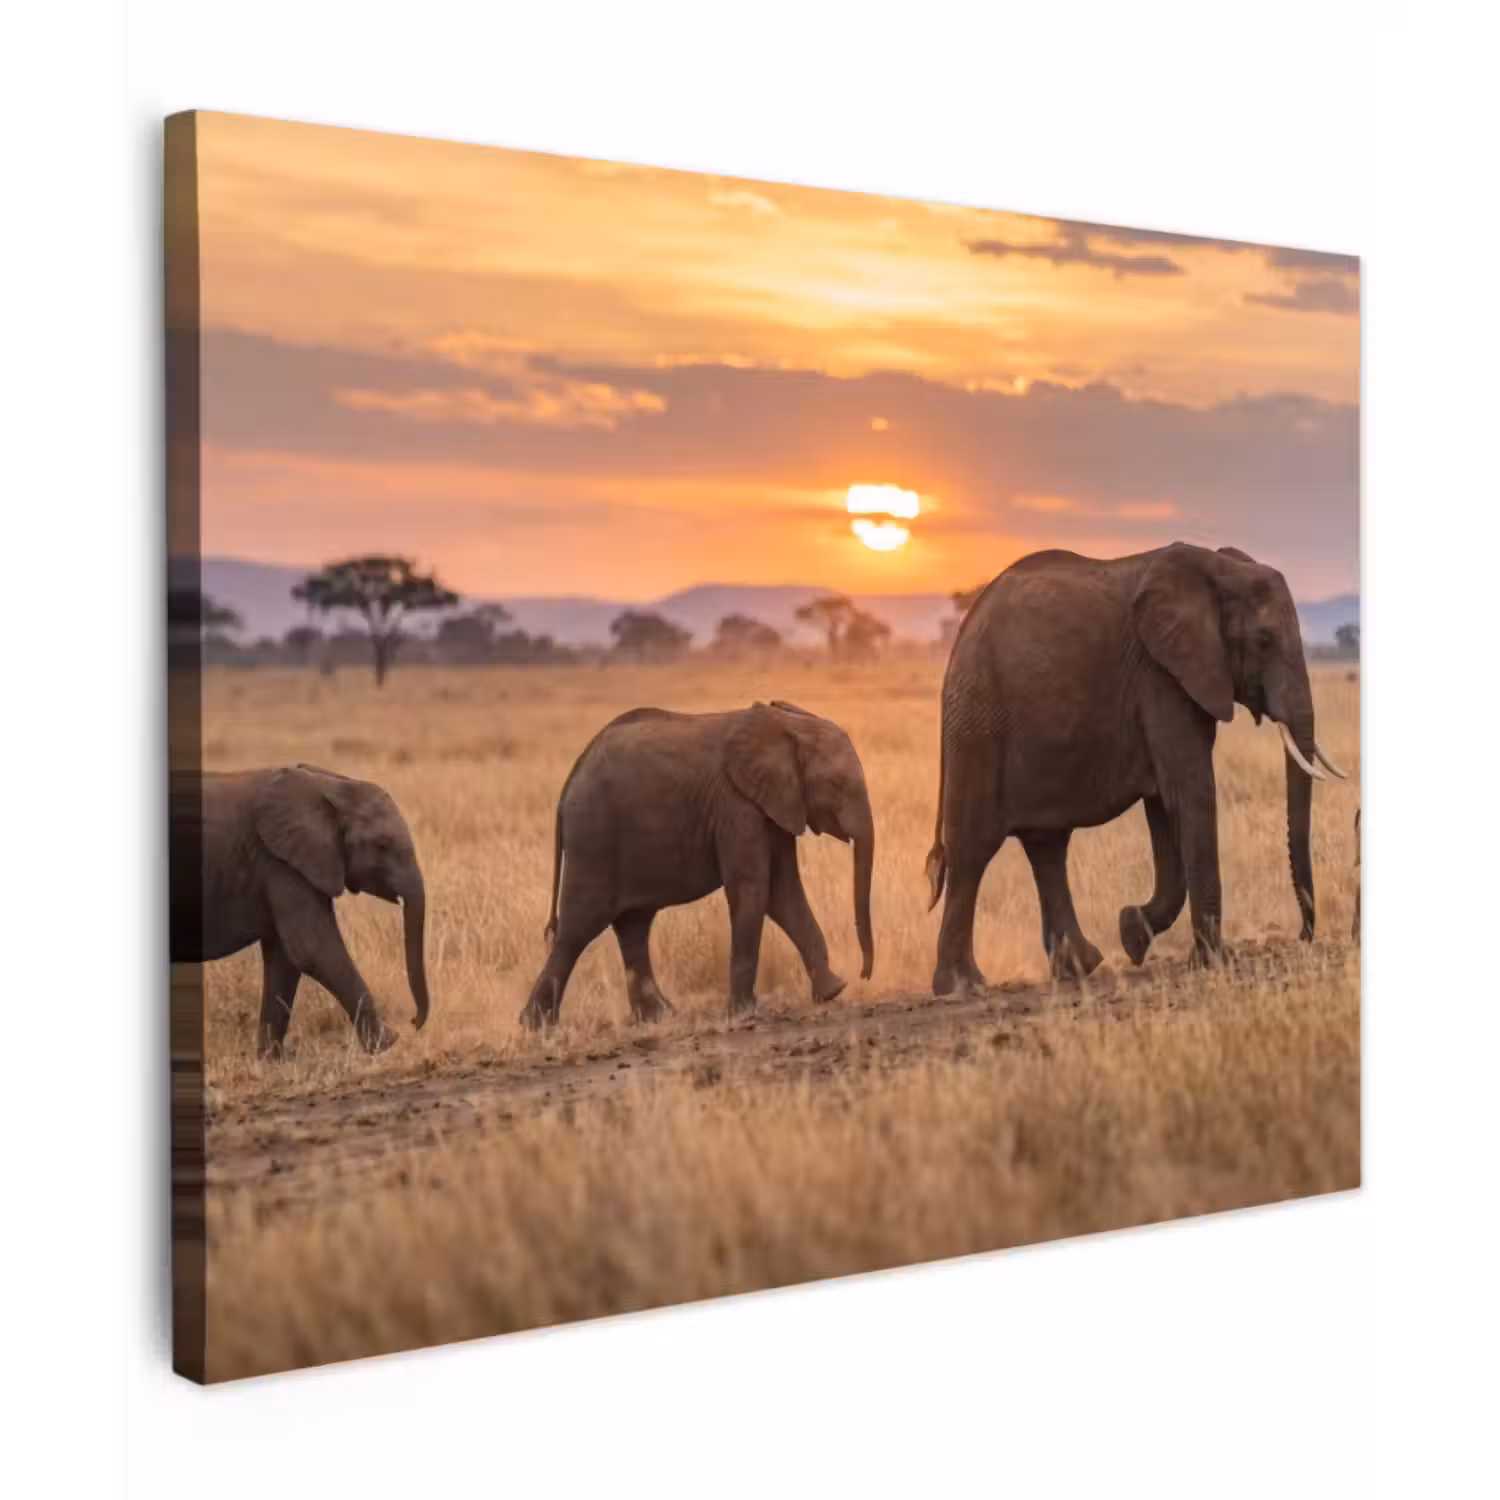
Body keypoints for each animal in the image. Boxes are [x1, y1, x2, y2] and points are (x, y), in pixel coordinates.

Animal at [169, 763, 432, 1057]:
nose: (412, 1022)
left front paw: (272, 1060)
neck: (329, 786)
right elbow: (314, 950)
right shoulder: (279, 863)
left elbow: (286, 958)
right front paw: (386, 1043)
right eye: (382, 845)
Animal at [519, 700, 875, 1030]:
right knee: (579, 927)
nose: (864, 974)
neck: (786, 726)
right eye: (837, 784)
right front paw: (744, 1013)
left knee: (633, 925)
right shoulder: (736, 805)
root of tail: (568, 784)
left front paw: (832, 991)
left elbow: (782, 891)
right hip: (593, 839)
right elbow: (753, 889)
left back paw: (658, 1018)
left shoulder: (774, 805)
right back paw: (536, 1027)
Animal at [925, 542, 1347, 995]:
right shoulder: (1161, 677)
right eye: (1264, 640)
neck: (1218, 568)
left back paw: (1080, 968)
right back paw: (962, 985)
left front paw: (1132, 933)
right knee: (974, 850)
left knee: (1047, 846)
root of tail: (962, 634)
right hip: (979, 723)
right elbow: (1190, 790)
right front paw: (1215, 961)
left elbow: (1164, 803)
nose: (1303, 936)